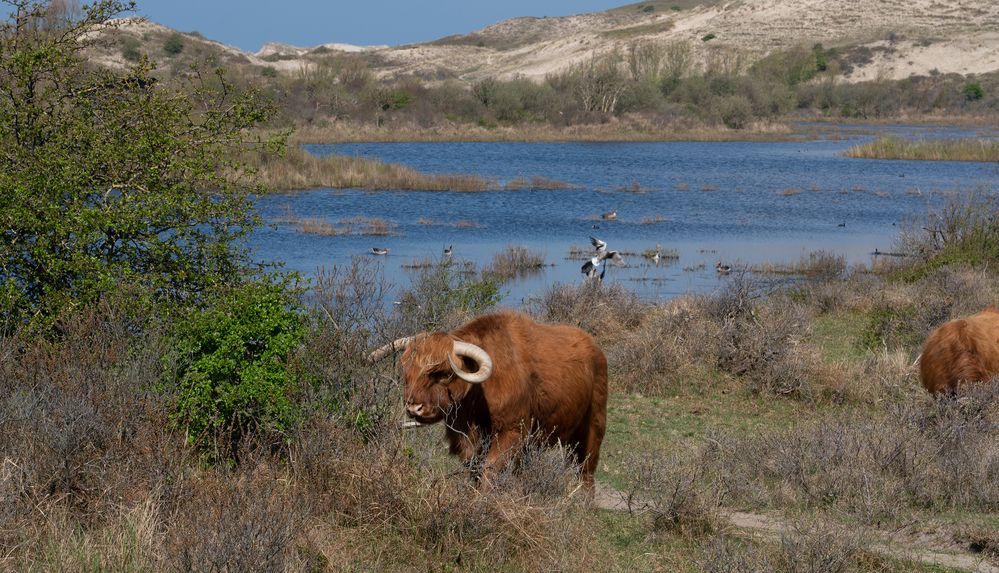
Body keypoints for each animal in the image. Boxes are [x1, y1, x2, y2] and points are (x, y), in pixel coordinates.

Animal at [370, 310, 608, 484]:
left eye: (444, 373)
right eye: (406, 372)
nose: (414, 408)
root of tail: (593, 346)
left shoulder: (511, 431)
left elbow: (491, 469)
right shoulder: (466, 437)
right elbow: (474, 467)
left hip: (594, 425)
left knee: (586, 469)